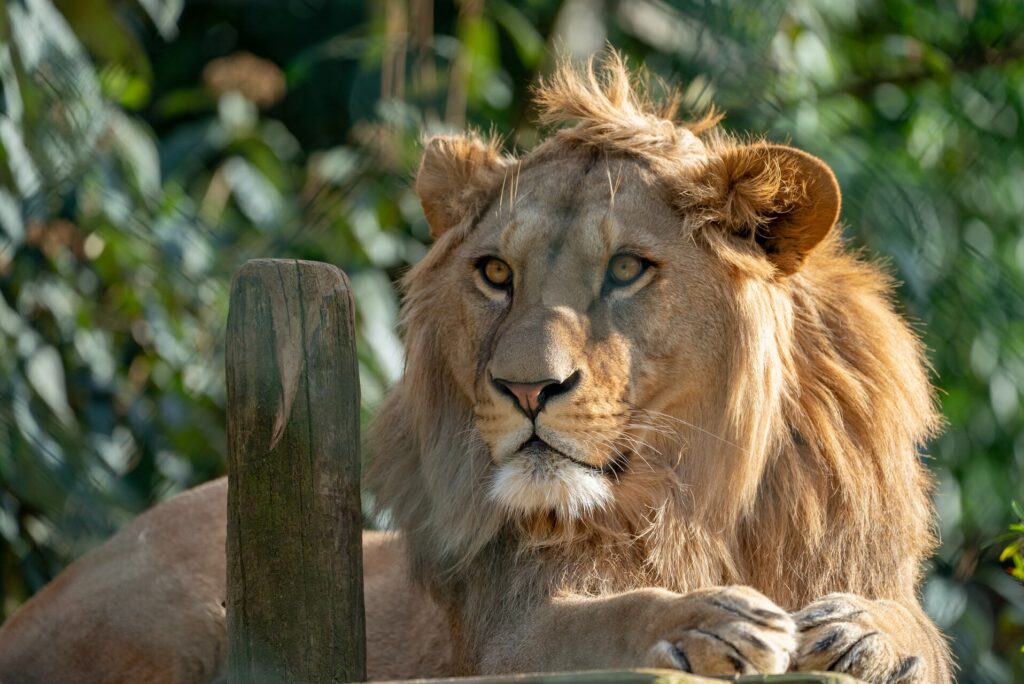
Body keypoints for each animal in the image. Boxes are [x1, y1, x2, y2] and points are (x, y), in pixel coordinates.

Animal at [0, 54, 950, 684]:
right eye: (495, 273)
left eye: (627, 269)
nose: (526, 389)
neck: (698, 496)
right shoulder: (508, 639)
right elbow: (600, 621)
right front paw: (707, 618)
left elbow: (921, 630)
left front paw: (866, 632)